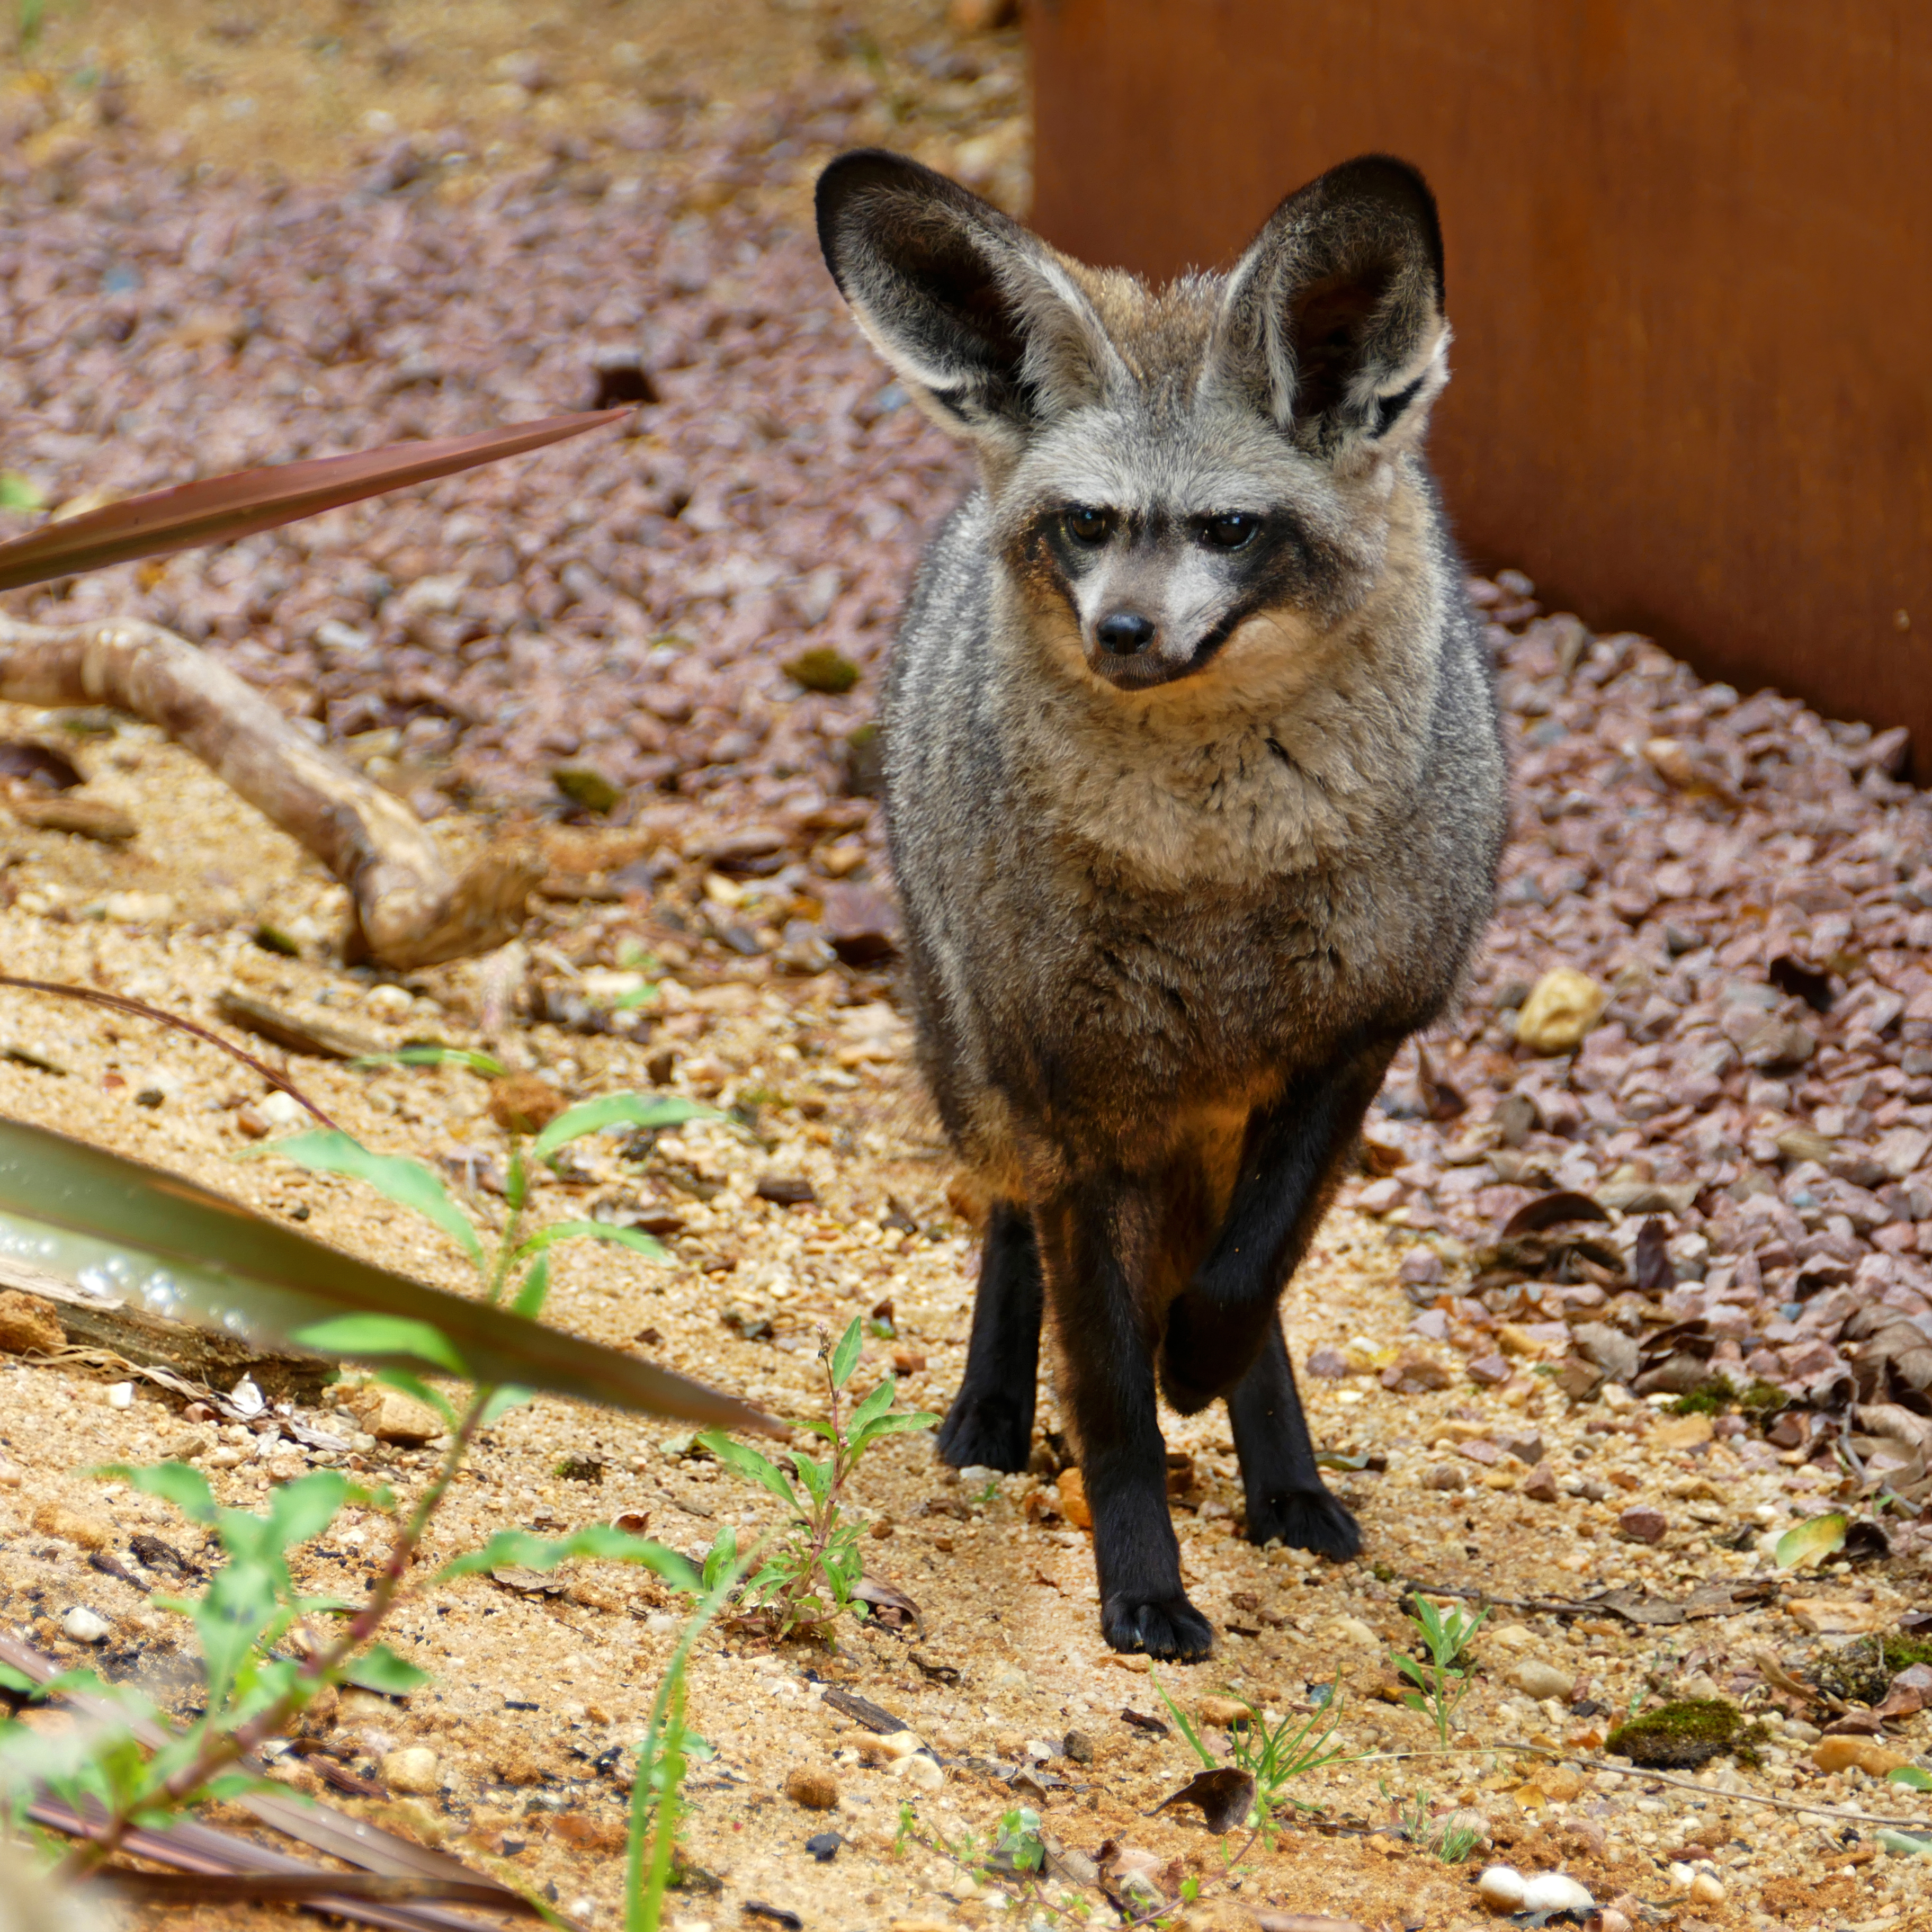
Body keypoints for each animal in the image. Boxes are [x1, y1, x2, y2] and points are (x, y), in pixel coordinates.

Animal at [814, 149, 1507, 1658]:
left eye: (1228, 529)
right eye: (1086, 524)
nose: (1122, 633)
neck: (1211, 872)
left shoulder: (1357, 1040)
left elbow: (1251, 1279)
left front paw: (1212, 1374)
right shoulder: (1063, 1087)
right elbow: (1112, 1390)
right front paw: (1141, 1581)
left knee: (1239, 1266)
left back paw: (1284, 1476)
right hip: (981, 1068)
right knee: (1012, 1227)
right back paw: (991, 1412)